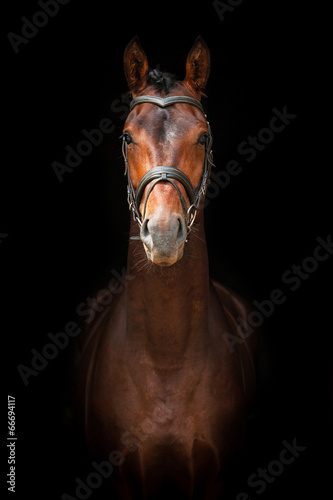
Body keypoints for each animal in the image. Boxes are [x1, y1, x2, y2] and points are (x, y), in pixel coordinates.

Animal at [78, 36, 256, 500]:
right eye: (127, 137)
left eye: (203, 137)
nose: (162, 234)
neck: (165, 364)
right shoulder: (122, 480)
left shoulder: (213, 481)